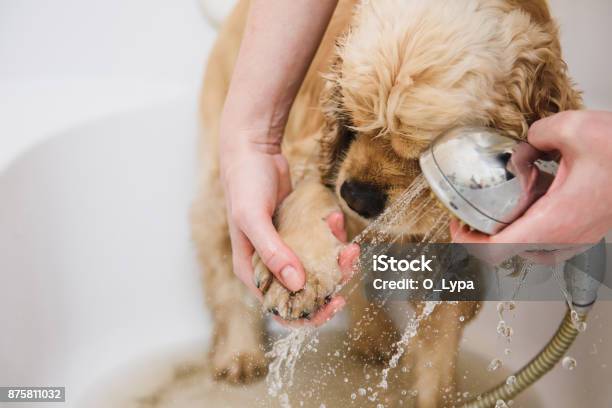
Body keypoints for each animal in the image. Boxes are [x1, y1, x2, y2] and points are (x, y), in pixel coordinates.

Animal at [192, 0, 584, 404]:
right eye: (352, 118)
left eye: (424, 152)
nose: (355, 197)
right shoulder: (310, 152)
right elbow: (307, 196)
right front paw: (296, 278)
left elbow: (438, 345)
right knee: (222, 266)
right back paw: (239, 354)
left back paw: (373, 338)